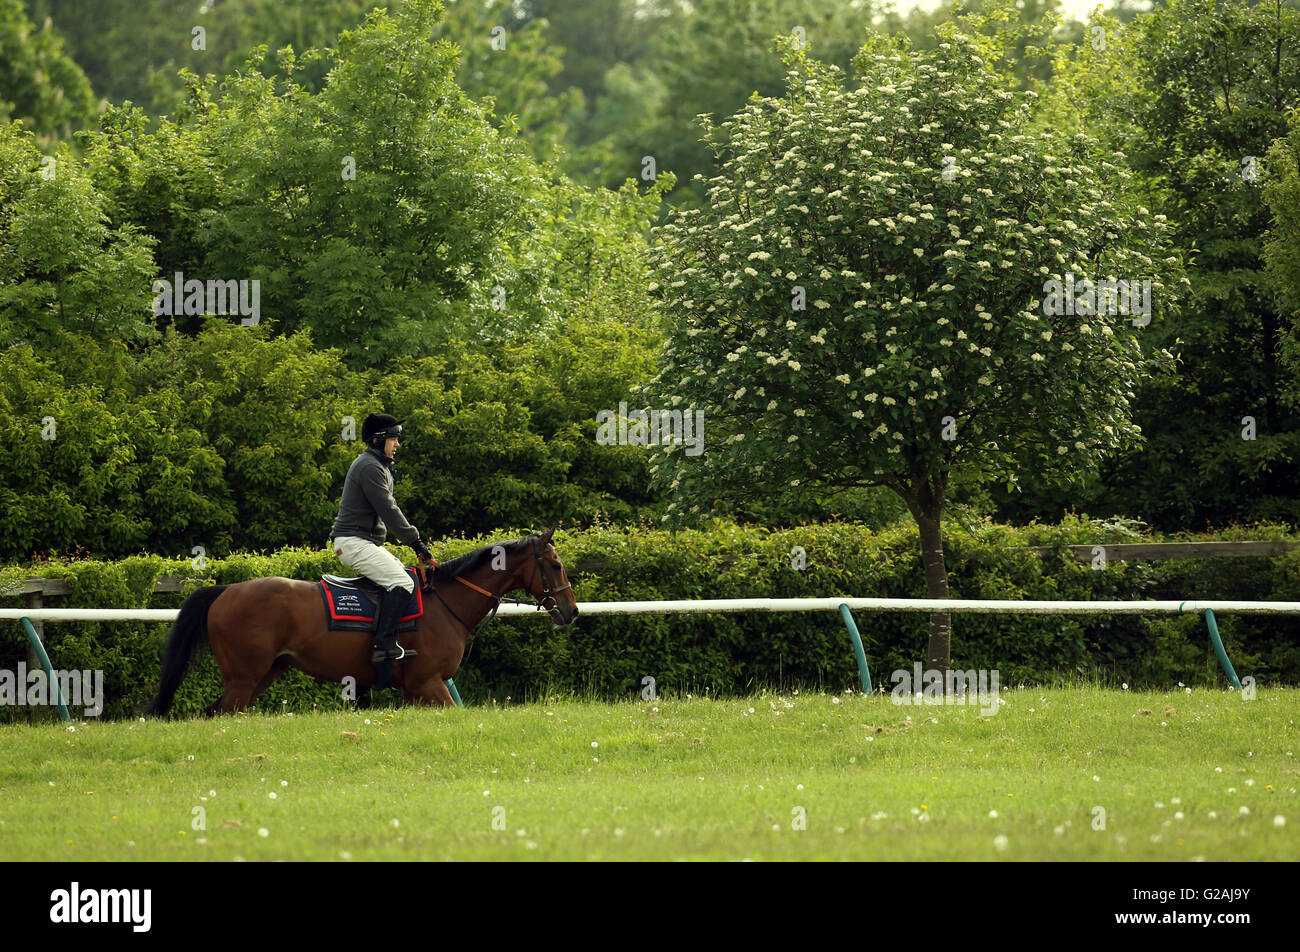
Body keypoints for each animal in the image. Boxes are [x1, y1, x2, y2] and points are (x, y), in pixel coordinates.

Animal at [141, 528, 579, 712]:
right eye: (556, 565)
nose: (572, 611)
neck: (446, 601)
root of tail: (226, 590)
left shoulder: (414, 691)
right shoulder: (429, 683)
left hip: (261, 676)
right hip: (244, 679)